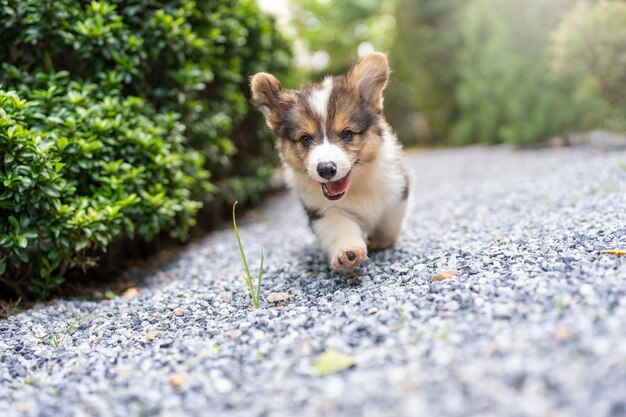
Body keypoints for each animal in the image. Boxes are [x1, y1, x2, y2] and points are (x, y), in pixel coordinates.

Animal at [251, 52, 408, 272]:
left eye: (347, 134)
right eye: (305, 139)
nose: (326, 169)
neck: (356, 187)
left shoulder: (398, 191)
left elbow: (390, 220)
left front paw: (381, 240)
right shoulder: (323, 211)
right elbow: (339, 227)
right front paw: (348, 253)